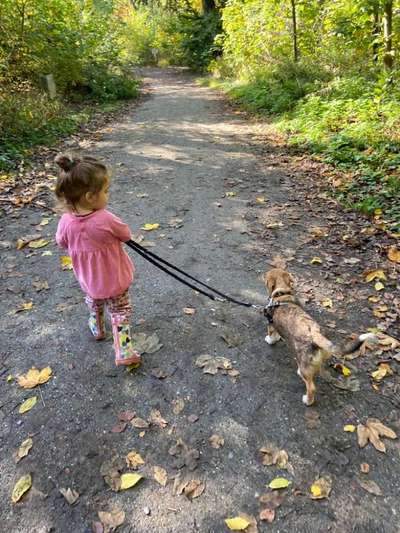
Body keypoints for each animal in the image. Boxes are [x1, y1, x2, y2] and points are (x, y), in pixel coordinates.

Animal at [264, 268, 374, 406]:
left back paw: (307, 400)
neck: (282, 294)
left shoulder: (270, 323)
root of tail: (314, 334)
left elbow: (271, 335)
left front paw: (270, 340)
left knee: (311, 387)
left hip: (305, 367)